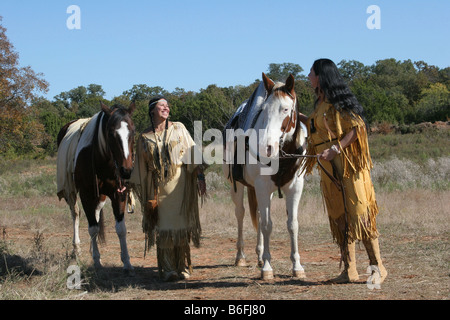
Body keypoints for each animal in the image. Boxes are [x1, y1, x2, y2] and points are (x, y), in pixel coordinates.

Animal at [56, 102, 134, 276]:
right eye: (111, 134)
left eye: (133, 131)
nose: (126, 171)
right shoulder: (86, 194)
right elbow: (92, 228)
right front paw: (97, 261)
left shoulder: (118, 194)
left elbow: (121, 229)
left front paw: (127, 262)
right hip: (71, 192)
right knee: (76, 214)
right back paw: (77, 249)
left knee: (96, 214)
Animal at [223, 73, 308, 280]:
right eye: (264, 110)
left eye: (286, 109)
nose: (266, 147)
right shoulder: (262, 187)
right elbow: (268, 225)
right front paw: (268, 268)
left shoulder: (295, 188)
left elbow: (292, 225)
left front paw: (297, 266)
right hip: (237, 187)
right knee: (241, 214)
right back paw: (241, 256)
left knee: (260, 217)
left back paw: (260, 256)